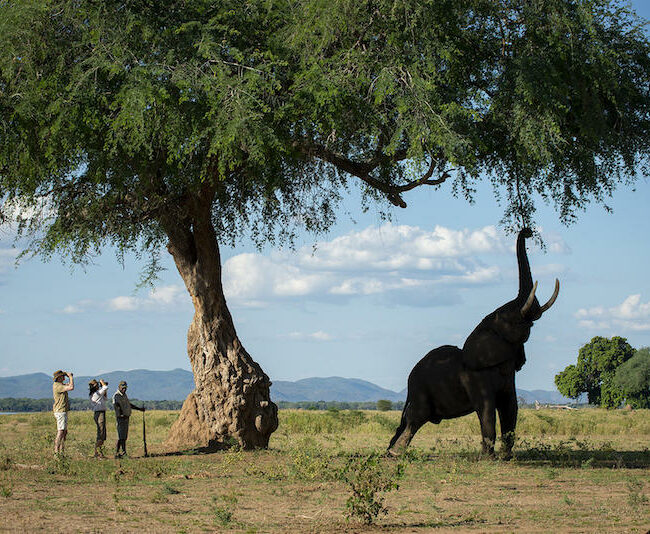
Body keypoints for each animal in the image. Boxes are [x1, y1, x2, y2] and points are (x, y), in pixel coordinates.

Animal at [384, 228, 556, 458]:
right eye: (511, 319)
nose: (528, 231)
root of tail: (409, 380)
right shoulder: (475, 377)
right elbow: (487, 409)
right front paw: (488, 458)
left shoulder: (509, 377)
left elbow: (511, 408)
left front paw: (506, 457)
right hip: (421, 391)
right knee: (415, 418)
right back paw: (395, 454)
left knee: (409, 420)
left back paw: (391, 451)